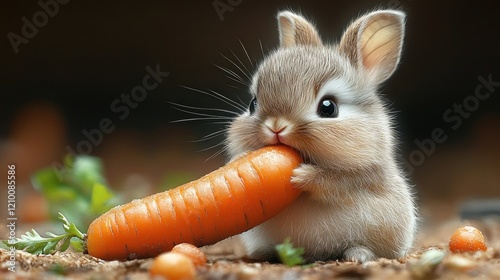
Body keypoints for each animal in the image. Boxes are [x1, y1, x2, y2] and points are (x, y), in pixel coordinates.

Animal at [227, 9, 418, 262]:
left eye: (328, 107)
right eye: (253, 104)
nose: (276, 127)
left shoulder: (363, 176)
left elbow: (334, 182)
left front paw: (301, 176)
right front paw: (238, 159)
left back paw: (358, 255)